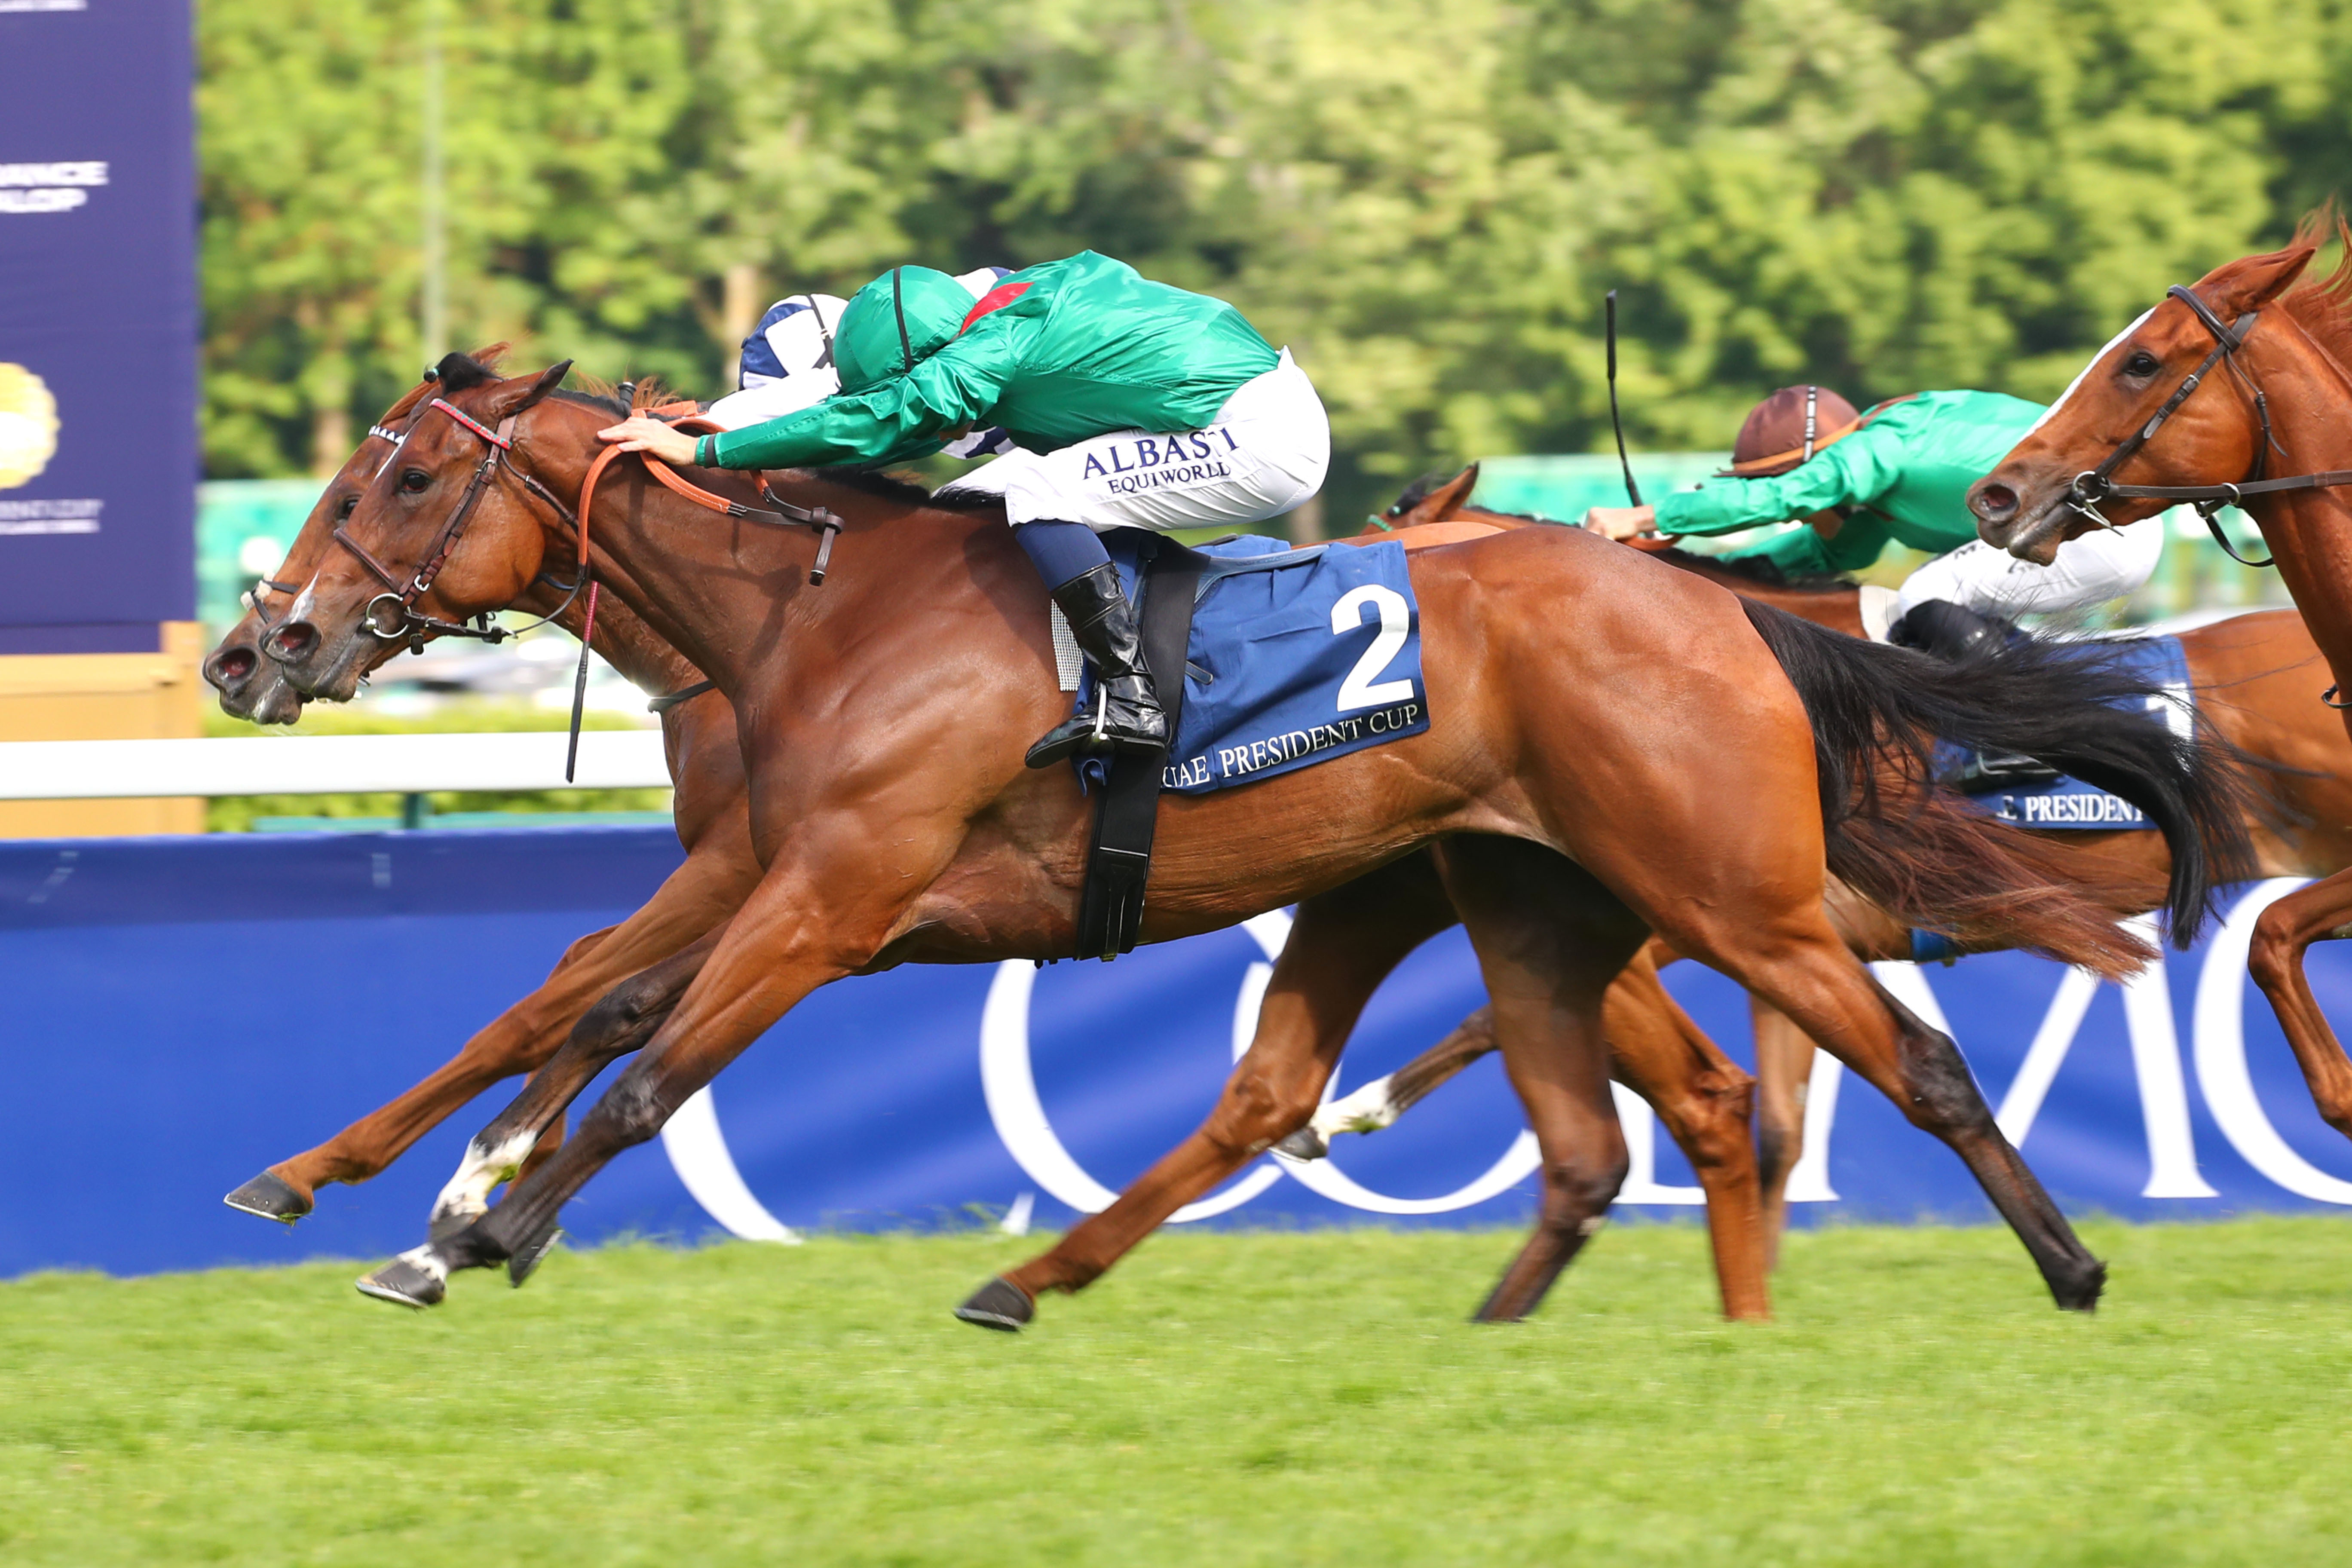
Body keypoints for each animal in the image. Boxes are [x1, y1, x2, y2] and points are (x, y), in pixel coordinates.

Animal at [253, 354, 2242, 1323]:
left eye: (403, 478)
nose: (262, 643)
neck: (815, 614)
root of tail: (1724, 614)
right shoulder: (772, 871)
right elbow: (573, 1005)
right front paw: (363, 1190)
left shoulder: (830, 896)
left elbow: (649, 1071)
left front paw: (481, 1235)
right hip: (1517, 895)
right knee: (1537, 1118)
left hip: (1721, 889)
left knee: (1891, 1061)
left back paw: (2067, 1266)